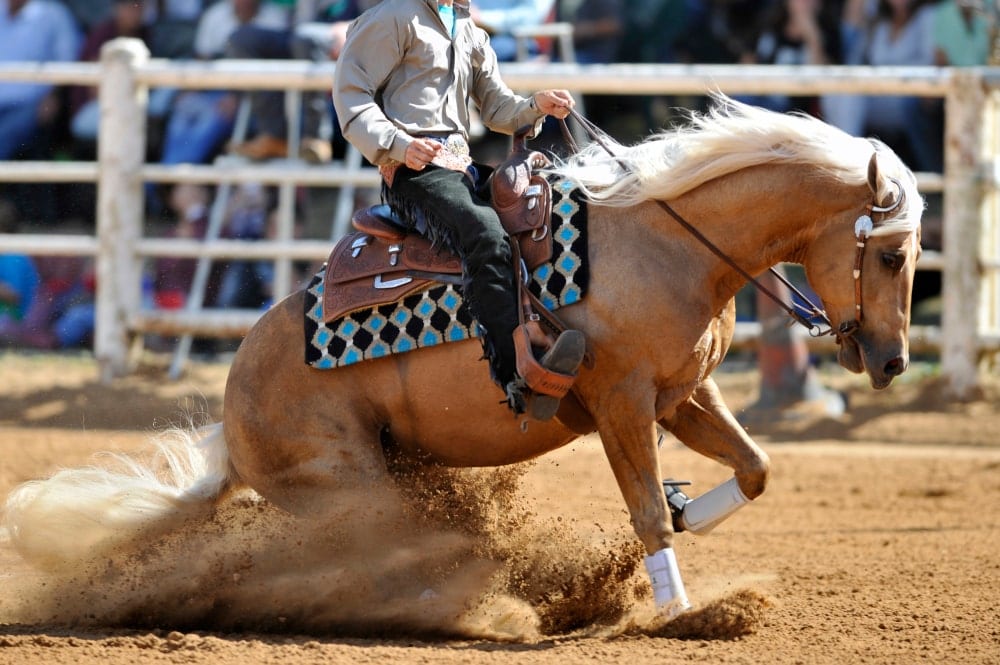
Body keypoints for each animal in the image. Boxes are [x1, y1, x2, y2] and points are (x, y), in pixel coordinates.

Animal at [3, 95, 922, 619]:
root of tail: (232, 419)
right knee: (395, 553)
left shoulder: (683, 394)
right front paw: (678, 608)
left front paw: (691, 509)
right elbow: (646, 514)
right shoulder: (623, 403)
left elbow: (756, 467)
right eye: (888, 254)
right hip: (352, 487)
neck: (667, 241)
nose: (890, 363)